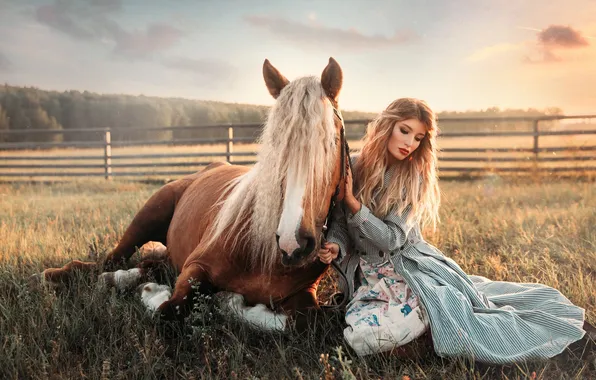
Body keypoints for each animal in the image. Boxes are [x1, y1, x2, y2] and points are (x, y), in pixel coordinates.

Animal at [37, 57, 352, 332]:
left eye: (331, 142)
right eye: (273, 145)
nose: (292, 242)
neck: (263, 254)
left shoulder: (305, 297)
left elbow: (301, 322)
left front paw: (230, 303)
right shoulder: (196, 266)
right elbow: (170, 311)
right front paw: (155, 295)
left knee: (148, 265)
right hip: (147, 218)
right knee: (109, 262)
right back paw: (61, 275)